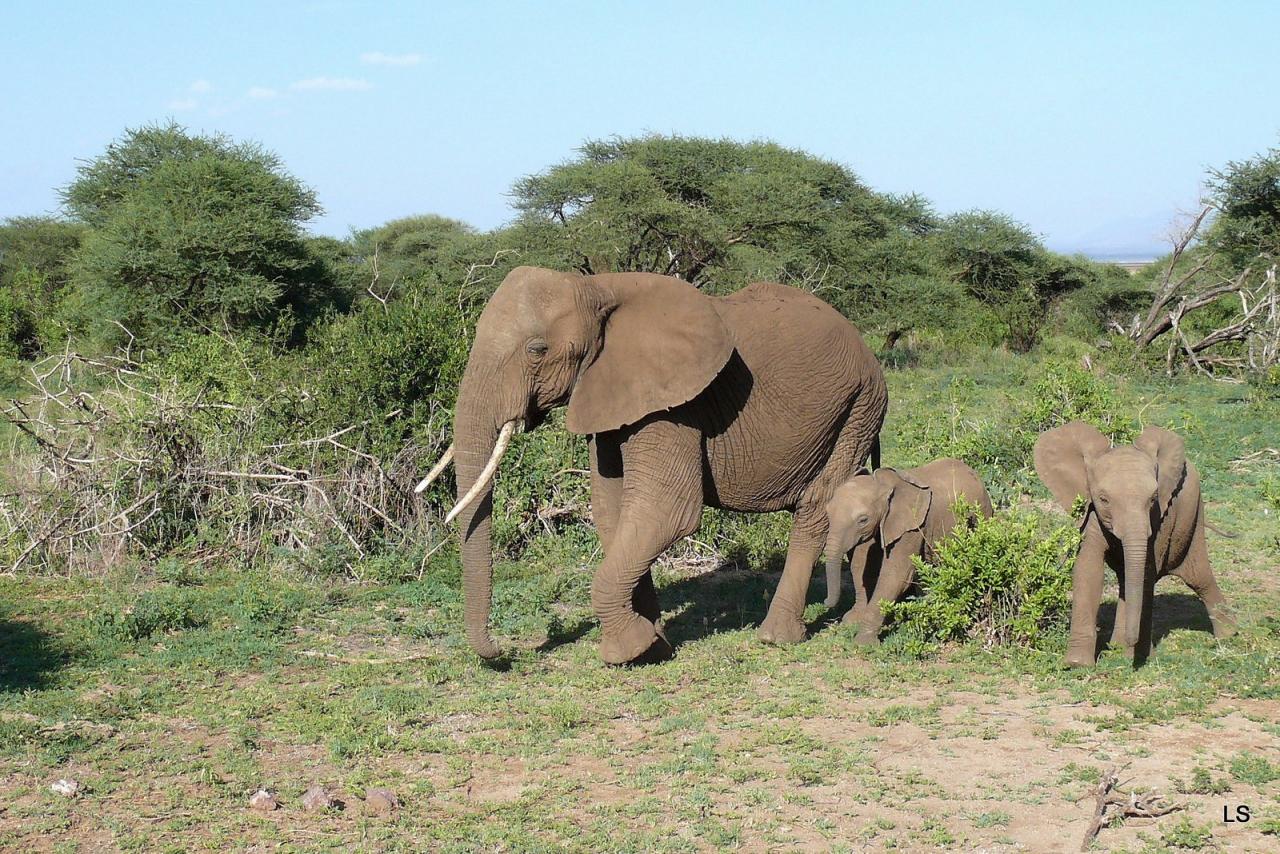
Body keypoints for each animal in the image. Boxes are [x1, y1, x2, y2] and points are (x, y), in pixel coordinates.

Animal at [414, 263, 885, 665]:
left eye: (536, 350)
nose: (503, 652)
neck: (597, 288)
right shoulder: (610, 394)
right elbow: (613, 513)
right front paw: (654, 645)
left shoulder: (676, 405)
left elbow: (666, 512)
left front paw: (628, 651)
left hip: (859, 407)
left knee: (817, 507)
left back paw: (776, 637)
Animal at [824, 458, 993, 645]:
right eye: (827, 512)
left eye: (863, 520)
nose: (825, 602)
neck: (883, 485)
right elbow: (862, 568)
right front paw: (852, 621)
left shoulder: (911, 525)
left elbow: (896, 575)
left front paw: (863, 642)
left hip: (983, 511)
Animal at [1034, 419, 1233, 665]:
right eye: (1104, 499)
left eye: (1153, 499)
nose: (1130, 645)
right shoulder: (1093, 514)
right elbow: (1089, 570)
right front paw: (1076, 664)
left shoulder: (1158, 519)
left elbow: (1147, 571)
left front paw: (1134, 655)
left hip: (1192, 514)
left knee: (1199, 577)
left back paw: (1229, 636)